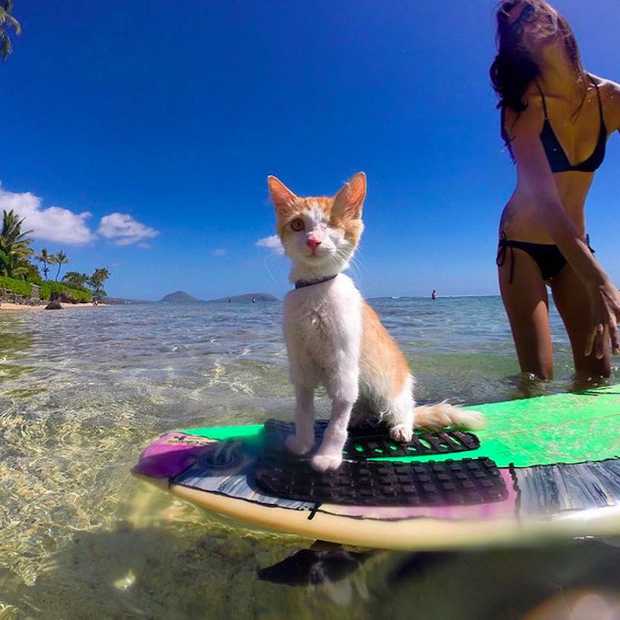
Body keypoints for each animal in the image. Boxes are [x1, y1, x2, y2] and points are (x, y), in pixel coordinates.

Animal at [268, 172, 484, 472]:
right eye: (298, 225)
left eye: (332, 224)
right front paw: (302, 444)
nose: (312, 240)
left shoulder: (344, 367)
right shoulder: (301, 366)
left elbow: (337, 423)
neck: (315, 291)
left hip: (391, 393)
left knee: (403, 412)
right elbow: (303, 411)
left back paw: (401, 427)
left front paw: (328, 456)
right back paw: (358, 416)